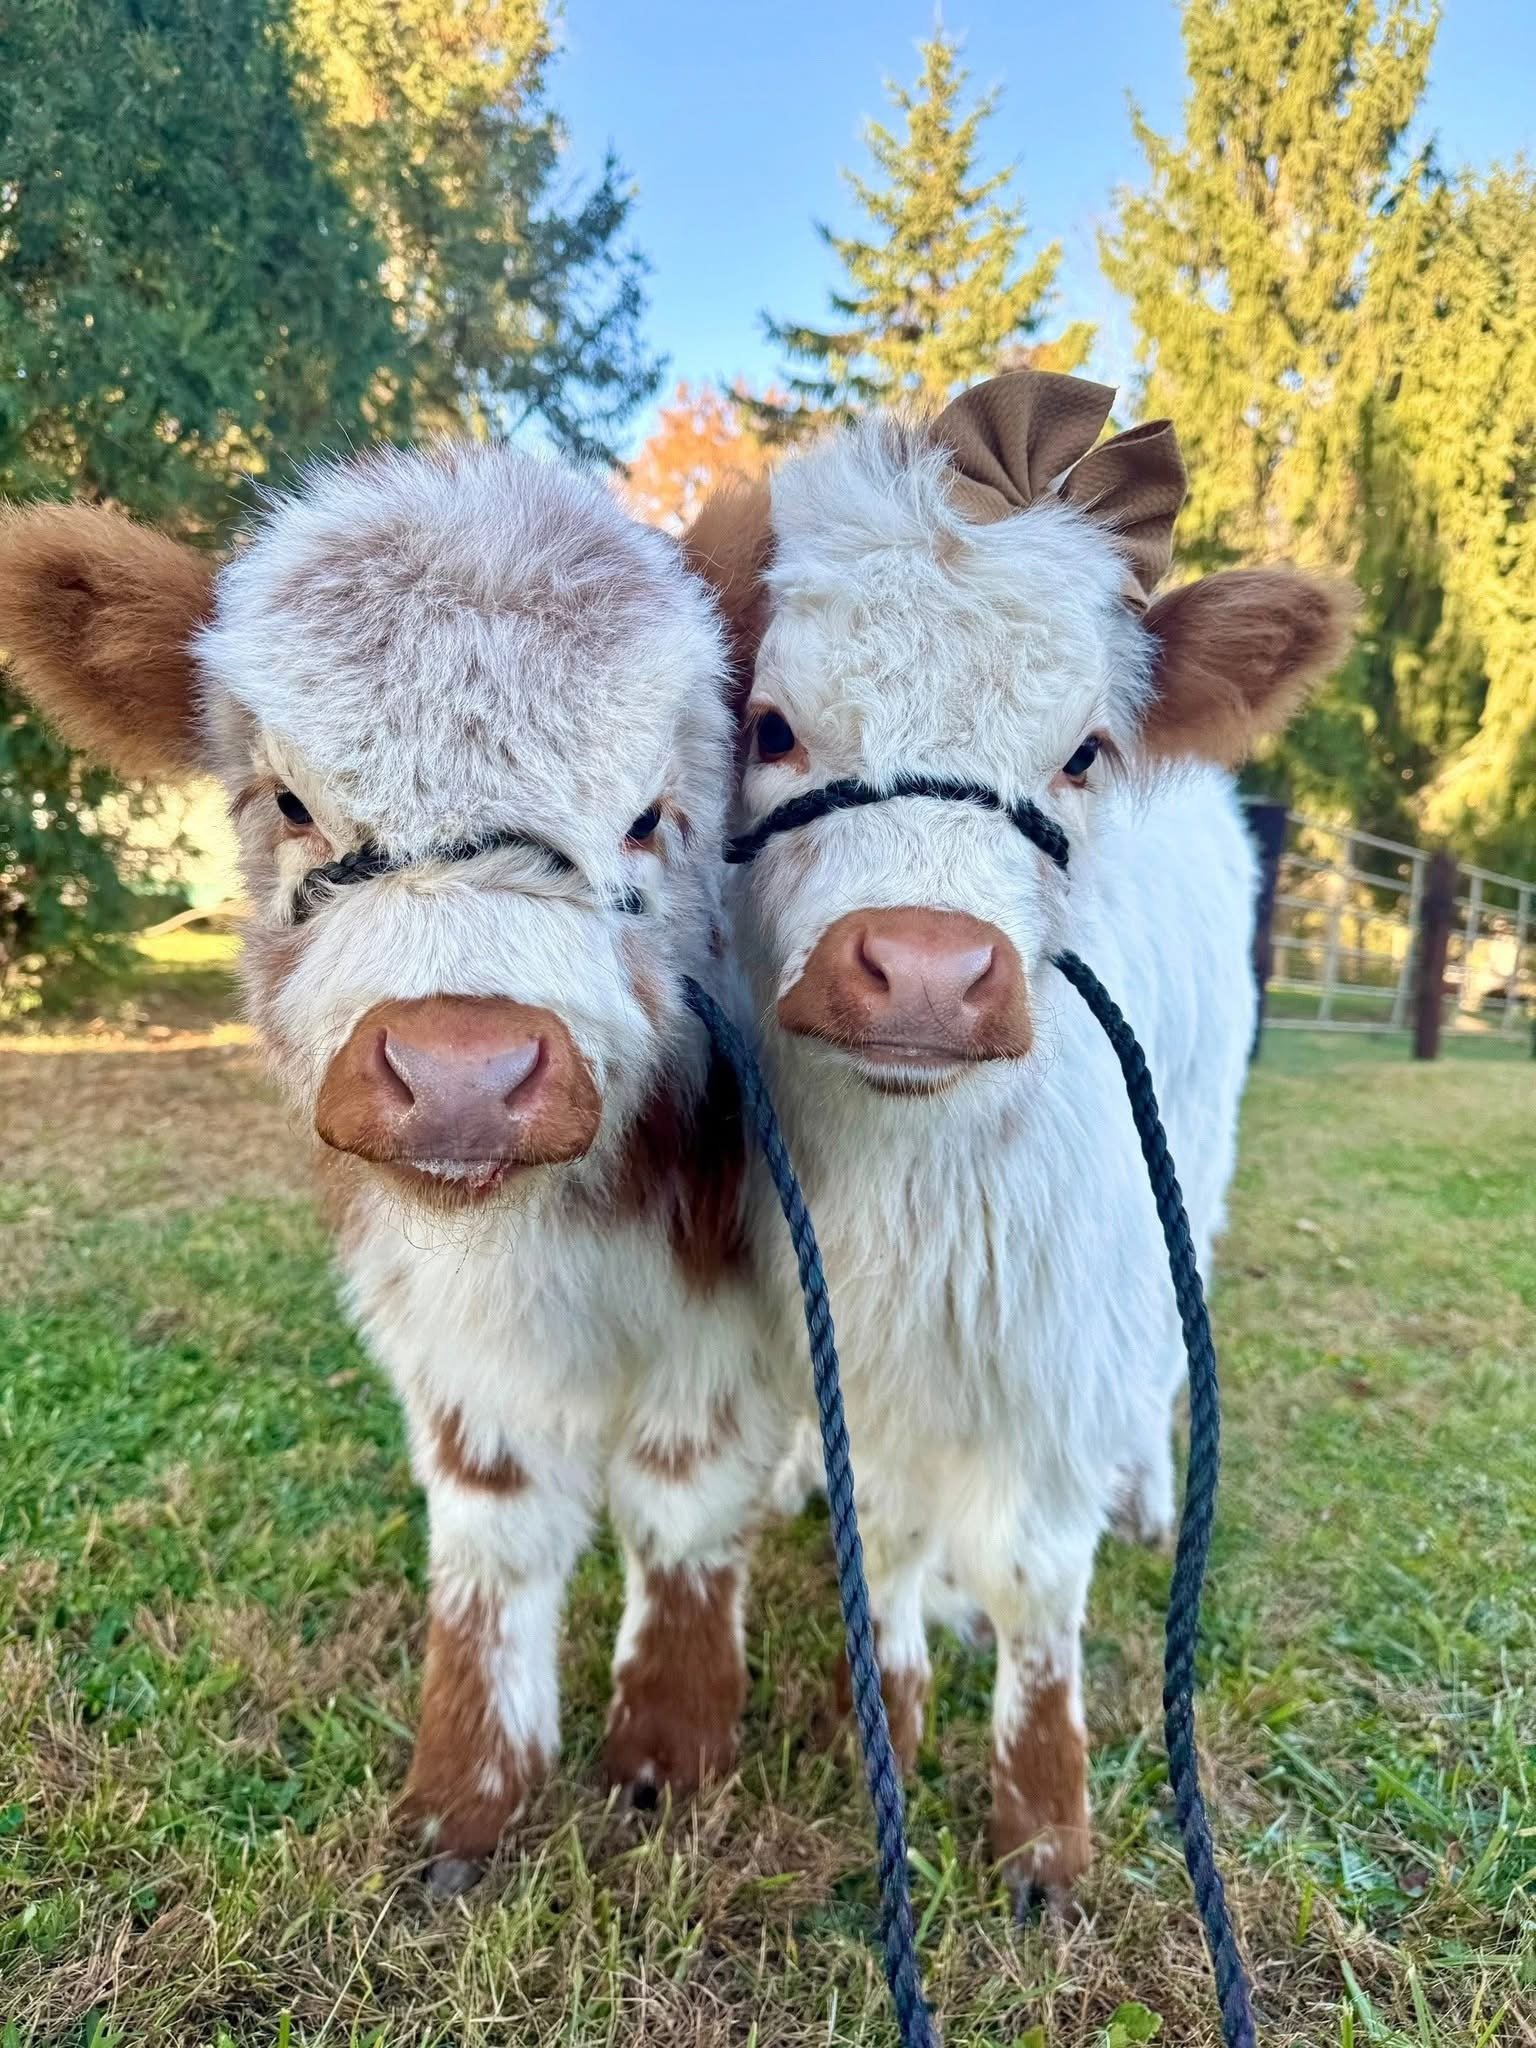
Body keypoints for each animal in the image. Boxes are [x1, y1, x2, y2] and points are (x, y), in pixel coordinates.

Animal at [0, 447, 789, 1890]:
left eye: (653, 817)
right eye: (290, 802)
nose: (461, 1069)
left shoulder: (727, 1318)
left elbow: (686, 1505)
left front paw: (669, 1760)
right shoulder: (442, 1342)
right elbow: (491, 1535)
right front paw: (463, 1802)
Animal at [685, 370, 1354, 1912]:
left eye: (1083, 752)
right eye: (770, 727)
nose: (927, 975)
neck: (921, 1191)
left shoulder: (1061, 1334)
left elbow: (1041, 1577)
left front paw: (1044, 1824)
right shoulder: (845, 1325)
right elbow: (885, 1539)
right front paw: (886, 1714)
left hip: (1191, 1183)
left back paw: (1151, 1495)